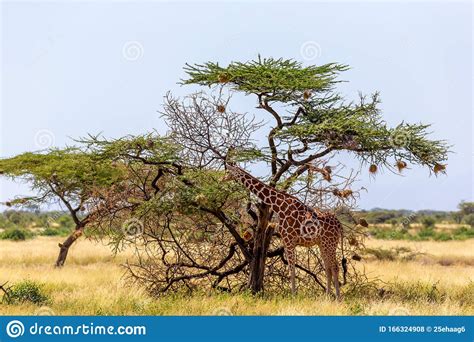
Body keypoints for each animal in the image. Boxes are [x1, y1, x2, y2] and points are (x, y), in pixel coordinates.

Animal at [224, 163, 342, 300]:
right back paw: (327, 296)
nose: (222, 178)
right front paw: (294, 294)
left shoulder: (289, 239)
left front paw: (293, 295)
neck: (279, 206)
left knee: (335, 267)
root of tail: (339, 225)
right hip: (322, 244)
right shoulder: (286, 241)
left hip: (330, 243)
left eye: (228, 172)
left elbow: (292, 268)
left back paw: (338, 298)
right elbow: (292, 267)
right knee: (328, 267)